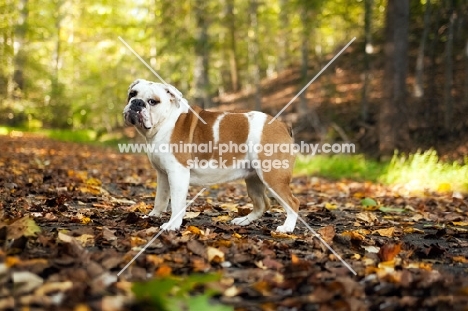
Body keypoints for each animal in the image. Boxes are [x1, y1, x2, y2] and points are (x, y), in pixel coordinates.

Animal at [123, 79, 300, 233]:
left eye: (153, 101)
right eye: (132, 94)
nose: (137, 102)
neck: (166, 121)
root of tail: (282, 125)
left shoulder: (177, 173)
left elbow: (177, 203)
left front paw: (172, 225)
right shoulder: (163, 174)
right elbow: (160, 198)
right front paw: (153, 216)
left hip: (273, 176)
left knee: (293, 203)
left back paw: (287, 228)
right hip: (254, 179)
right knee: (262, 204)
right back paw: (244, 220)